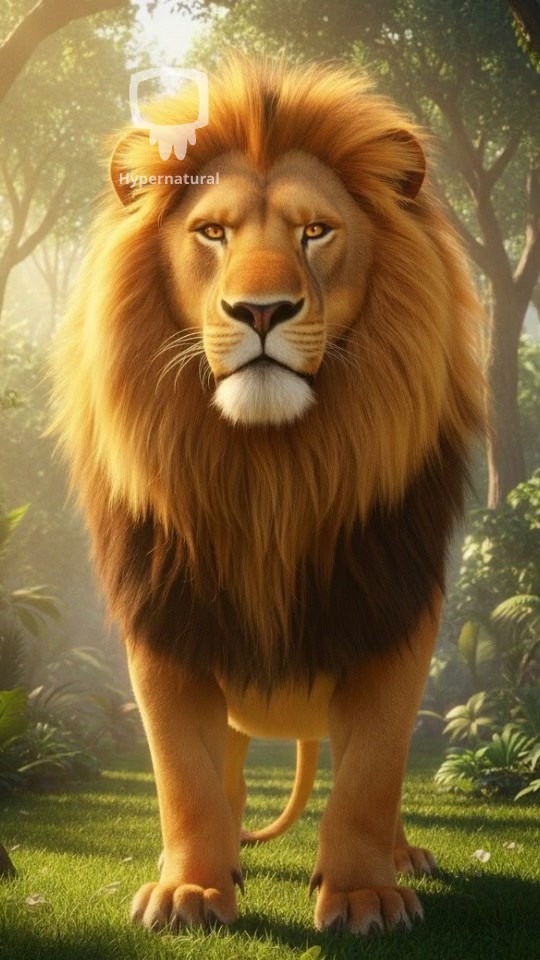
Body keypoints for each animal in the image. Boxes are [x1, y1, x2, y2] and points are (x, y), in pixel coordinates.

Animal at [49, 57, 485, 935]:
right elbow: (183, 775)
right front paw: (191, 890)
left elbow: (371, 774)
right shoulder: (165, 622)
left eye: (315, 232)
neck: (271, 475)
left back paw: (403, 856)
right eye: (212, 234)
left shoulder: (396, 614)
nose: (260, 311)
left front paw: (364, 894)